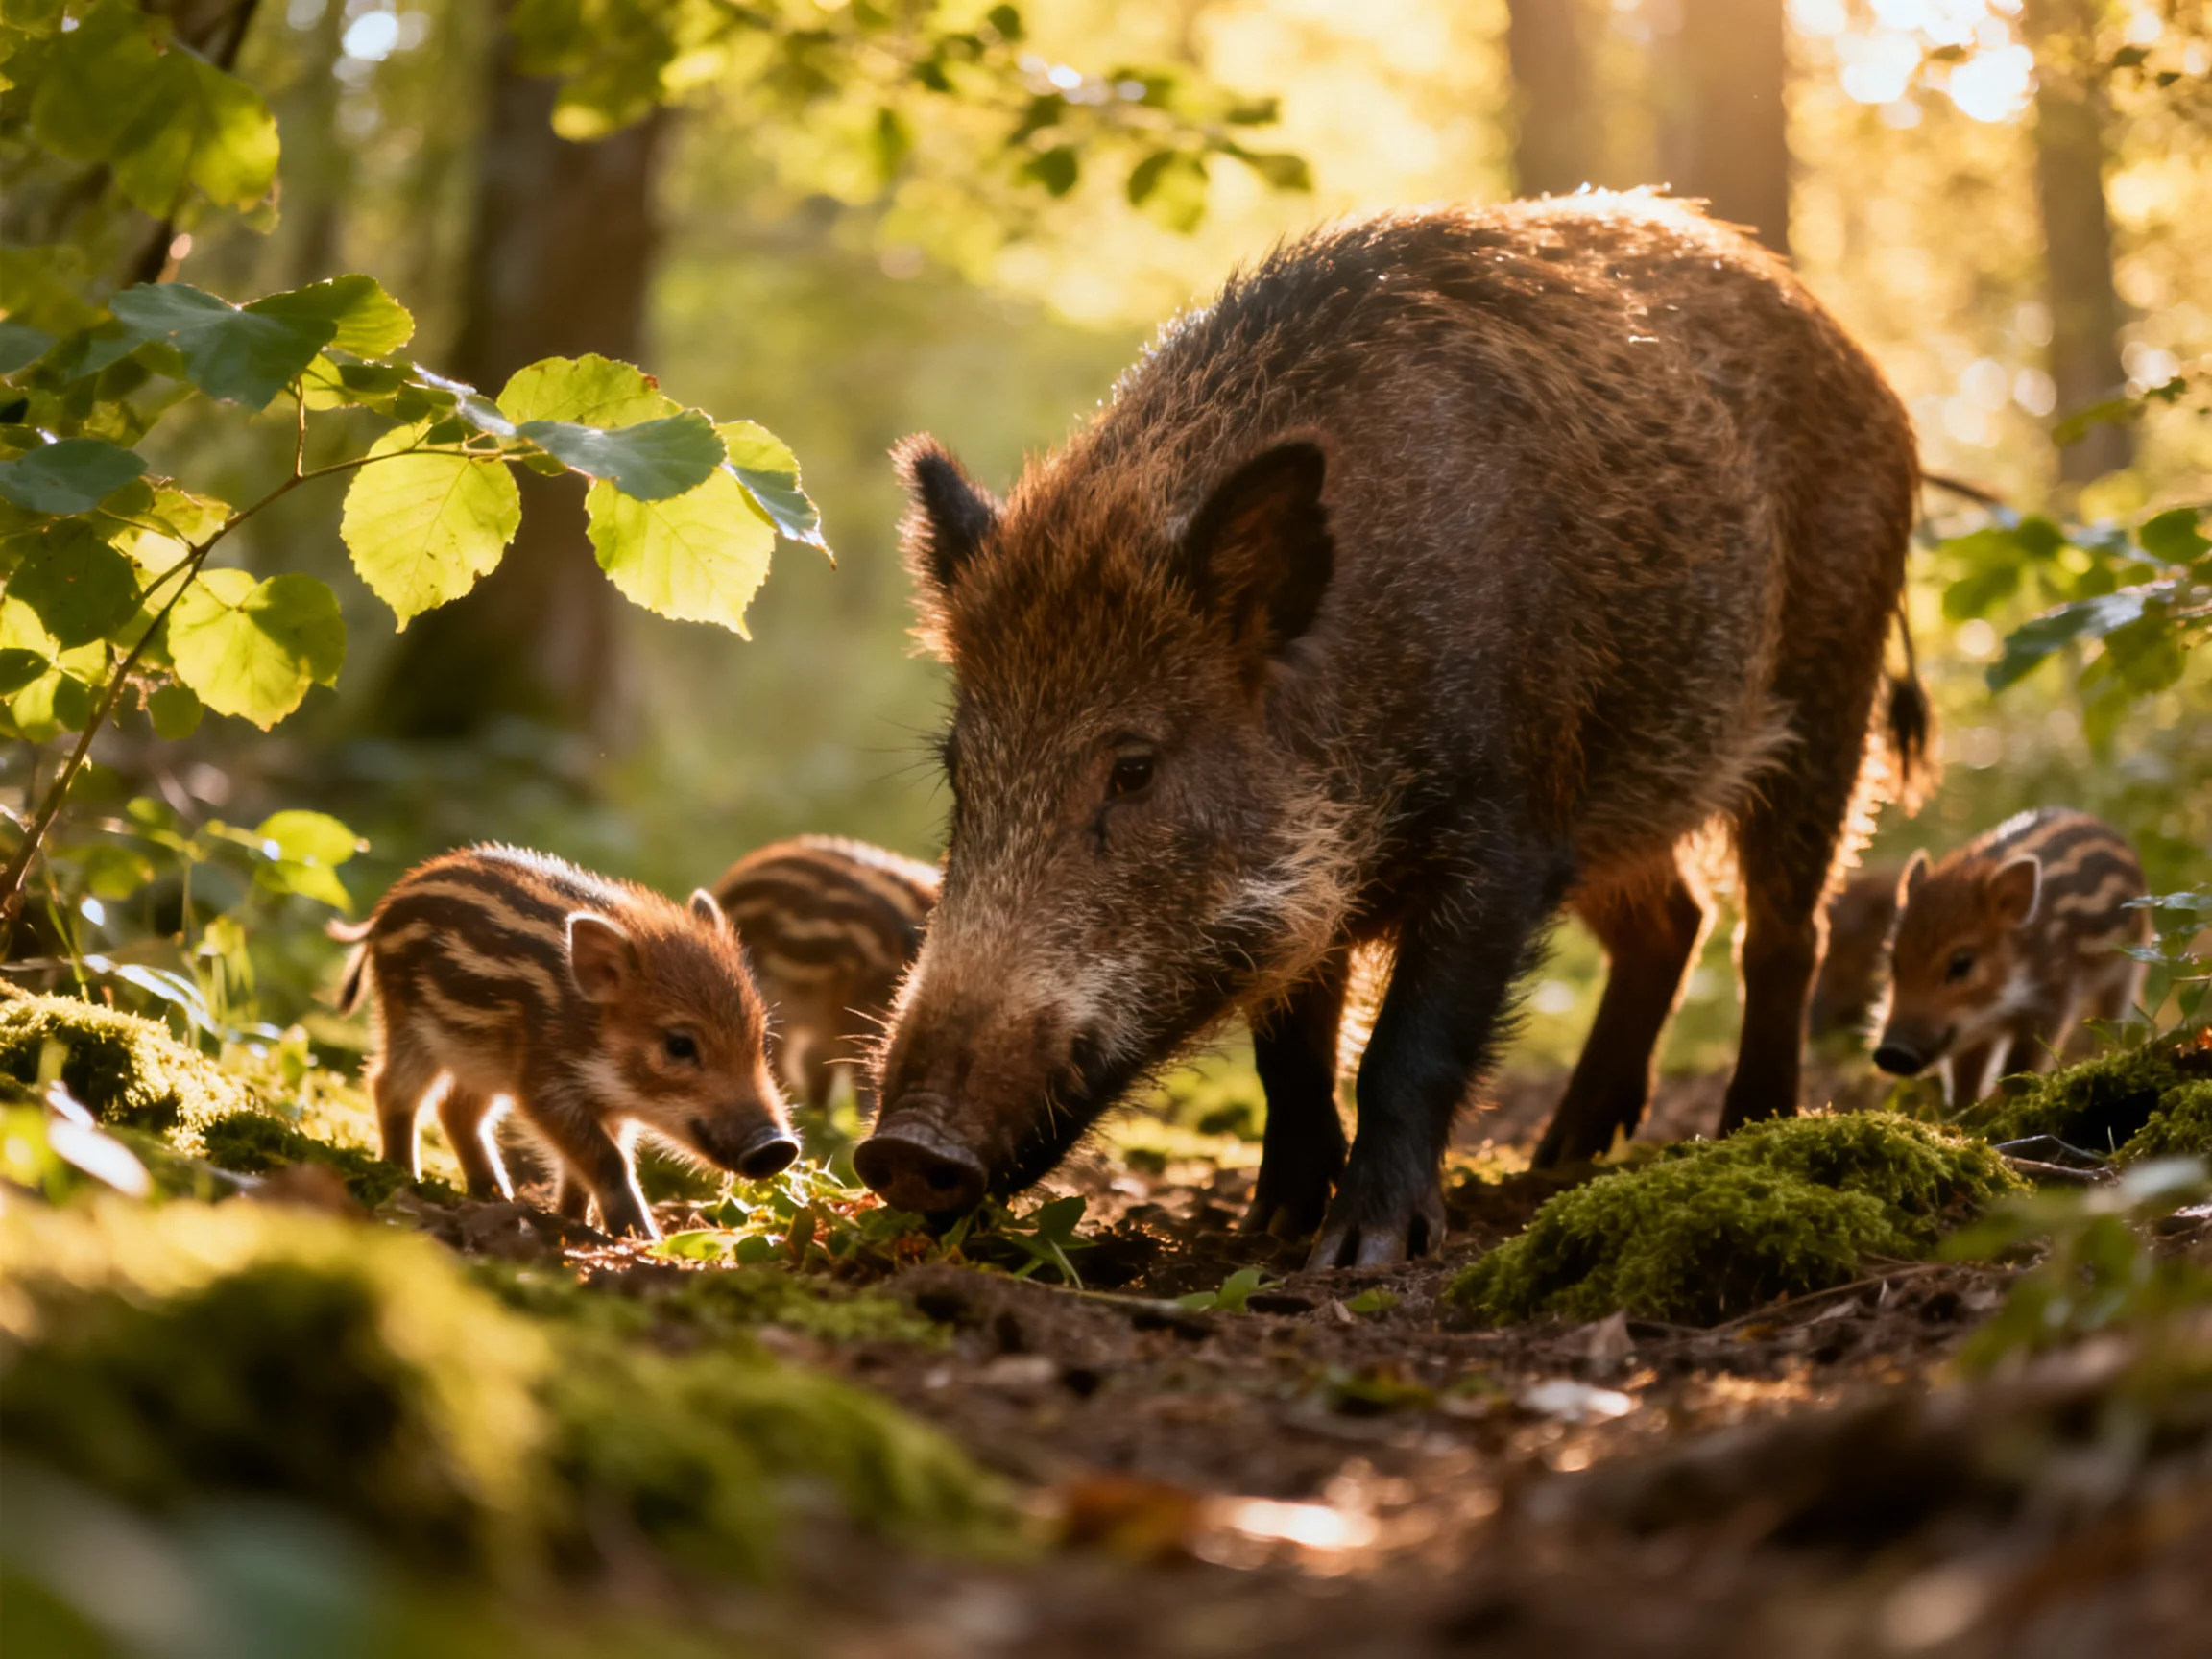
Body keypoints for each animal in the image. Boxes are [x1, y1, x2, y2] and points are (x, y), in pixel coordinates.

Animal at [336, 844, 798, 1237]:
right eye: (679, 1045)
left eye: (759, 1038)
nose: (778, 1146)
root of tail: (385, 908)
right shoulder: (546, 1084)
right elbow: (609, 1160)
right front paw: (641, 1237)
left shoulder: (605, 1105)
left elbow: (587, 1165)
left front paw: (573, 1221)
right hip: (408, 1025)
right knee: (390, 1087)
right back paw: (403, 1174)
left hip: (479, 1059)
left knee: (457, 1108)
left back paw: (493, 1193)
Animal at [855, 193, 1926, 1265]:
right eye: (960, 770)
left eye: (1135, 768)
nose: (901, 1151)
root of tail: (1862, 364)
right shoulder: (1323, 891)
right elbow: (1292, 1054)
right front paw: (1270, 1227)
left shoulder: (1507, 833)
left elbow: (1408, 1047)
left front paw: (1363, 1252)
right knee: (1676, 919)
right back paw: (1563, 1154)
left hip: (1830, 697)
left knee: (1782, 929)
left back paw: (1752, 1129)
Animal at [1873, 809, 2149, 1106]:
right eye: (1894, 961)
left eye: (1961, 965)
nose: (1891, 1052)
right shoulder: (1973, 1030)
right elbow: (1965, 1077)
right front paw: (1964, 1111)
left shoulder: (2052, 997)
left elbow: (2021, 1066)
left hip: (2130, 965)